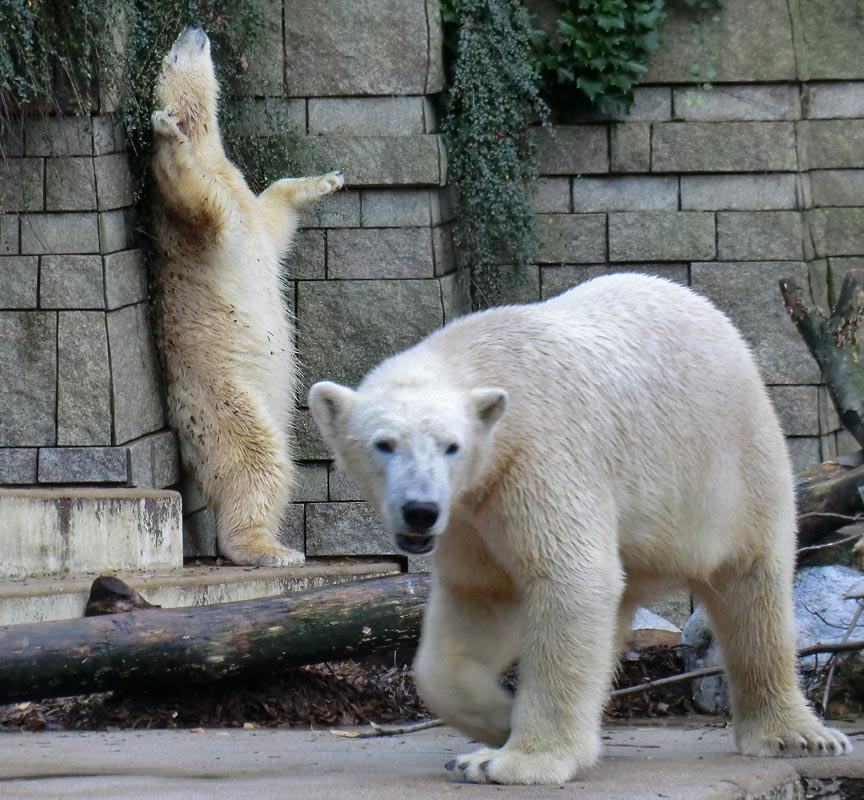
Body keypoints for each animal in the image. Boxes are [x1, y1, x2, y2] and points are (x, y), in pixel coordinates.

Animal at [152, 26, 344, 568]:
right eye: (171, 54)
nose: (193, 26)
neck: (210, 151)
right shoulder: (199, 224)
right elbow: (192, 195)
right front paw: (166, 131)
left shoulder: (242, 199)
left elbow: (271, 215)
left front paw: (325, 180)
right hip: (223, 400)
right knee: (255, 460)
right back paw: (269, 549)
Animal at [308, 274, 852, 780]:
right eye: (384, 444)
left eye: (450, 446)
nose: (420, 509)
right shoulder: (467, 517)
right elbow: (474, 604)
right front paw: (498, 723)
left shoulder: (539, 459)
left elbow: (570, 580)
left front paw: (512, 760)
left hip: (732, 462)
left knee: (752, 585)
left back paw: (796, 734)